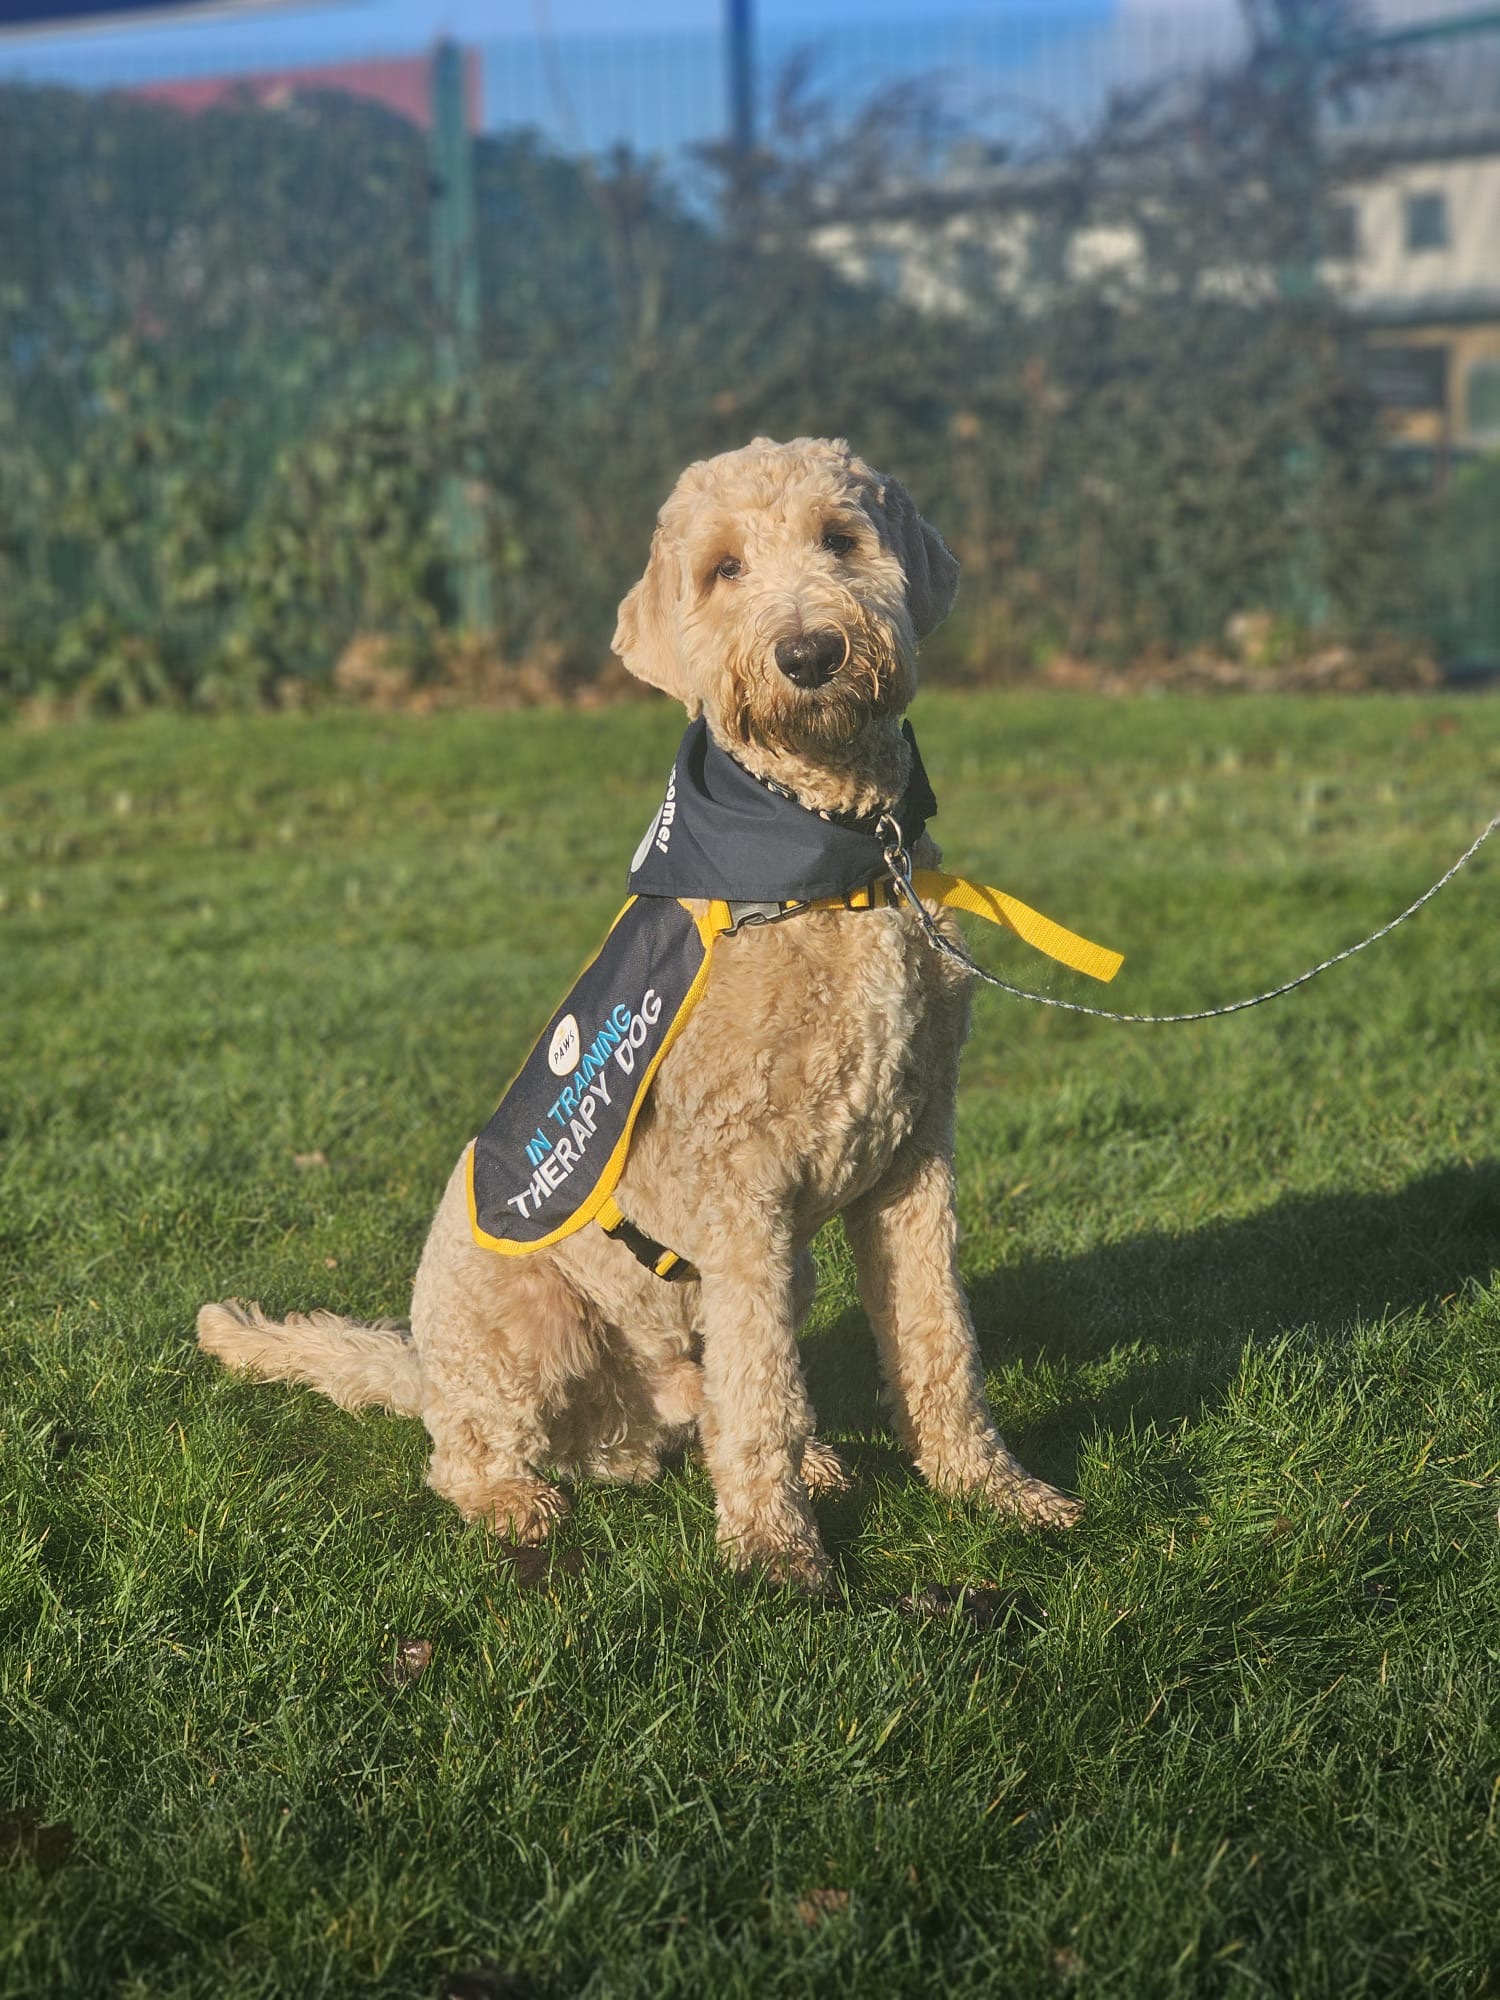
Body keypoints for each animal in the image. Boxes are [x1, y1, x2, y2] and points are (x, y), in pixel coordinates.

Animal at [198, 435, 1081, 1589]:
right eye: (723, 569)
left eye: (841, 539)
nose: (810, 652)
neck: (833, 863)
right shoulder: (744, 1183)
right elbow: (764, 1390)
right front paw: (775, 1552)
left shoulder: (915, 1151)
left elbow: (940, 1344)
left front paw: (993, 1489)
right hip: (527, 1326)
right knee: (469, 1450)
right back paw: (520, 1501)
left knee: (711, 1401)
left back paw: (808, 1460)